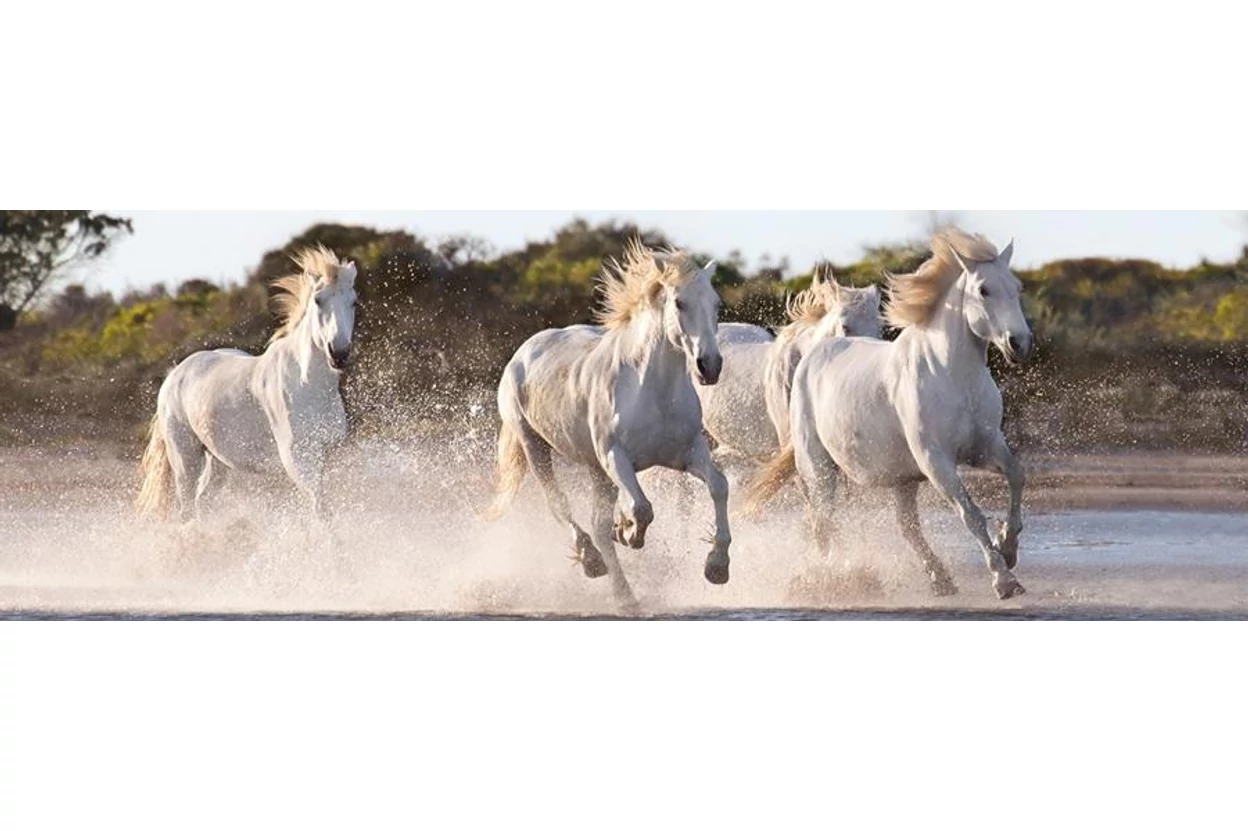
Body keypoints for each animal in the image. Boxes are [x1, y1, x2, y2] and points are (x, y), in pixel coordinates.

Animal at [136, 245, 358, 523]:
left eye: (353, 301)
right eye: (318, 300)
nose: (338, 353)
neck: (309, 386)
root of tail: (175, 374)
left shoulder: (326, 454)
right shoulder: (298, 458)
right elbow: (319, 507)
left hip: (218, 460)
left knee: (202, 502)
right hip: (185, 458)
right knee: (186, 508)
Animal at [486, 239, 729, 611]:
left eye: (716, 304)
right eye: (679, 302)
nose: (710, 366)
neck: (653, 392)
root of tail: (523, 352)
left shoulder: (689, 453)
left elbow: (719, 486)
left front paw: (717, 565)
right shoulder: (615, 456)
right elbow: (642, 508)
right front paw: (628, 531)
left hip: (595, 469)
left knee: (598, 524)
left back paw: (624, 593)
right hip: (534, 445)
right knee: (560, 505)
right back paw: (593, 562)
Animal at [744, 228, 1033, 600]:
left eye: (1016, 287)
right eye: (984, 290)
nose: (1019, 343)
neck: (952, 375)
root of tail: (814, 352)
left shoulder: (984, 446)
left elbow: (1016, 475)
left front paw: (1008, 547)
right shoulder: (936, 460)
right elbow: (970, 513)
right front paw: (1003, 579)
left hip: (903, 479)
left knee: (904, 526)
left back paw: (939, 578)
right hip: (819, 468)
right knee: (822, 522)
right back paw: (830, 580)